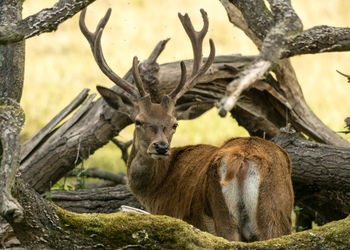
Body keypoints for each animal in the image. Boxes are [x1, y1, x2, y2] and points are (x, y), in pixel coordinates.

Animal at [78, 7, 292, 242]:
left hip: (228, 214)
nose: (161, 147)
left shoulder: (172, 214)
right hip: (276, 212)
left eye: (174, 124)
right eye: (138, 121)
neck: (156, 189)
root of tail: (243, 158)